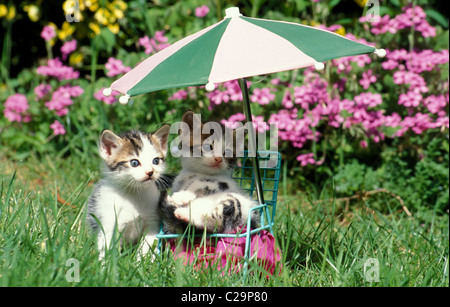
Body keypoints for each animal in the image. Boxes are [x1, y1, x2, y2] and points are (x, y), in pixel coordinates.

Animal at [87, 126, 171, 262]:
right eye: (134, 163)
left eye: (156, 161)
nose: (150, 172)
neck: (134, 193)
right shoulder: (109, 223)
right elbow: (106, 244)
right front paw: (104, 264)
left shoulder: (153, 221)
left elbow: (147, 244)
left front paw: (141, 262)